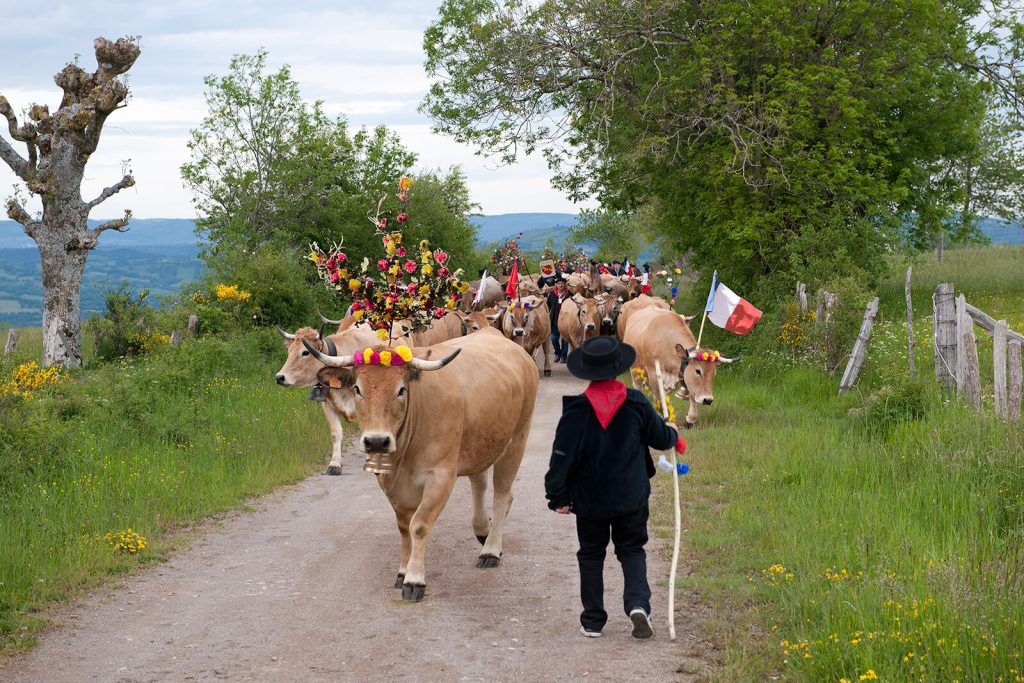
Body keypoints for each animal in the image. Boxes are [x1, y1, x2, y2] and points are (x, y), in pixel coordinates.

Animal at [274, 317, 378, 473]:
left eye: (305, 352)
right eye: (289, 350)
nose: (279, 377)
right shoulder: (328, 404)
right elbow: (336, 433)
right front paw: (334, 464)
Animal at [303, 331, 540, 602]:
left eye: (401, 390)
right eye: (357, 389)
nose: (377, 441)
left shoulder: (441, 476)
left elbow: (419, 525)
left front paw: (414, 579)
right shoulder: (390, 481)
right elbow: (404, 528)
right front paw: (402, 571)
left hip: (517, 438)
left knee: (502, 496)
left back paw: (490, 550)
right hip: (481, 441)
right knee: (478, 483)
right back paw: (482, 530)